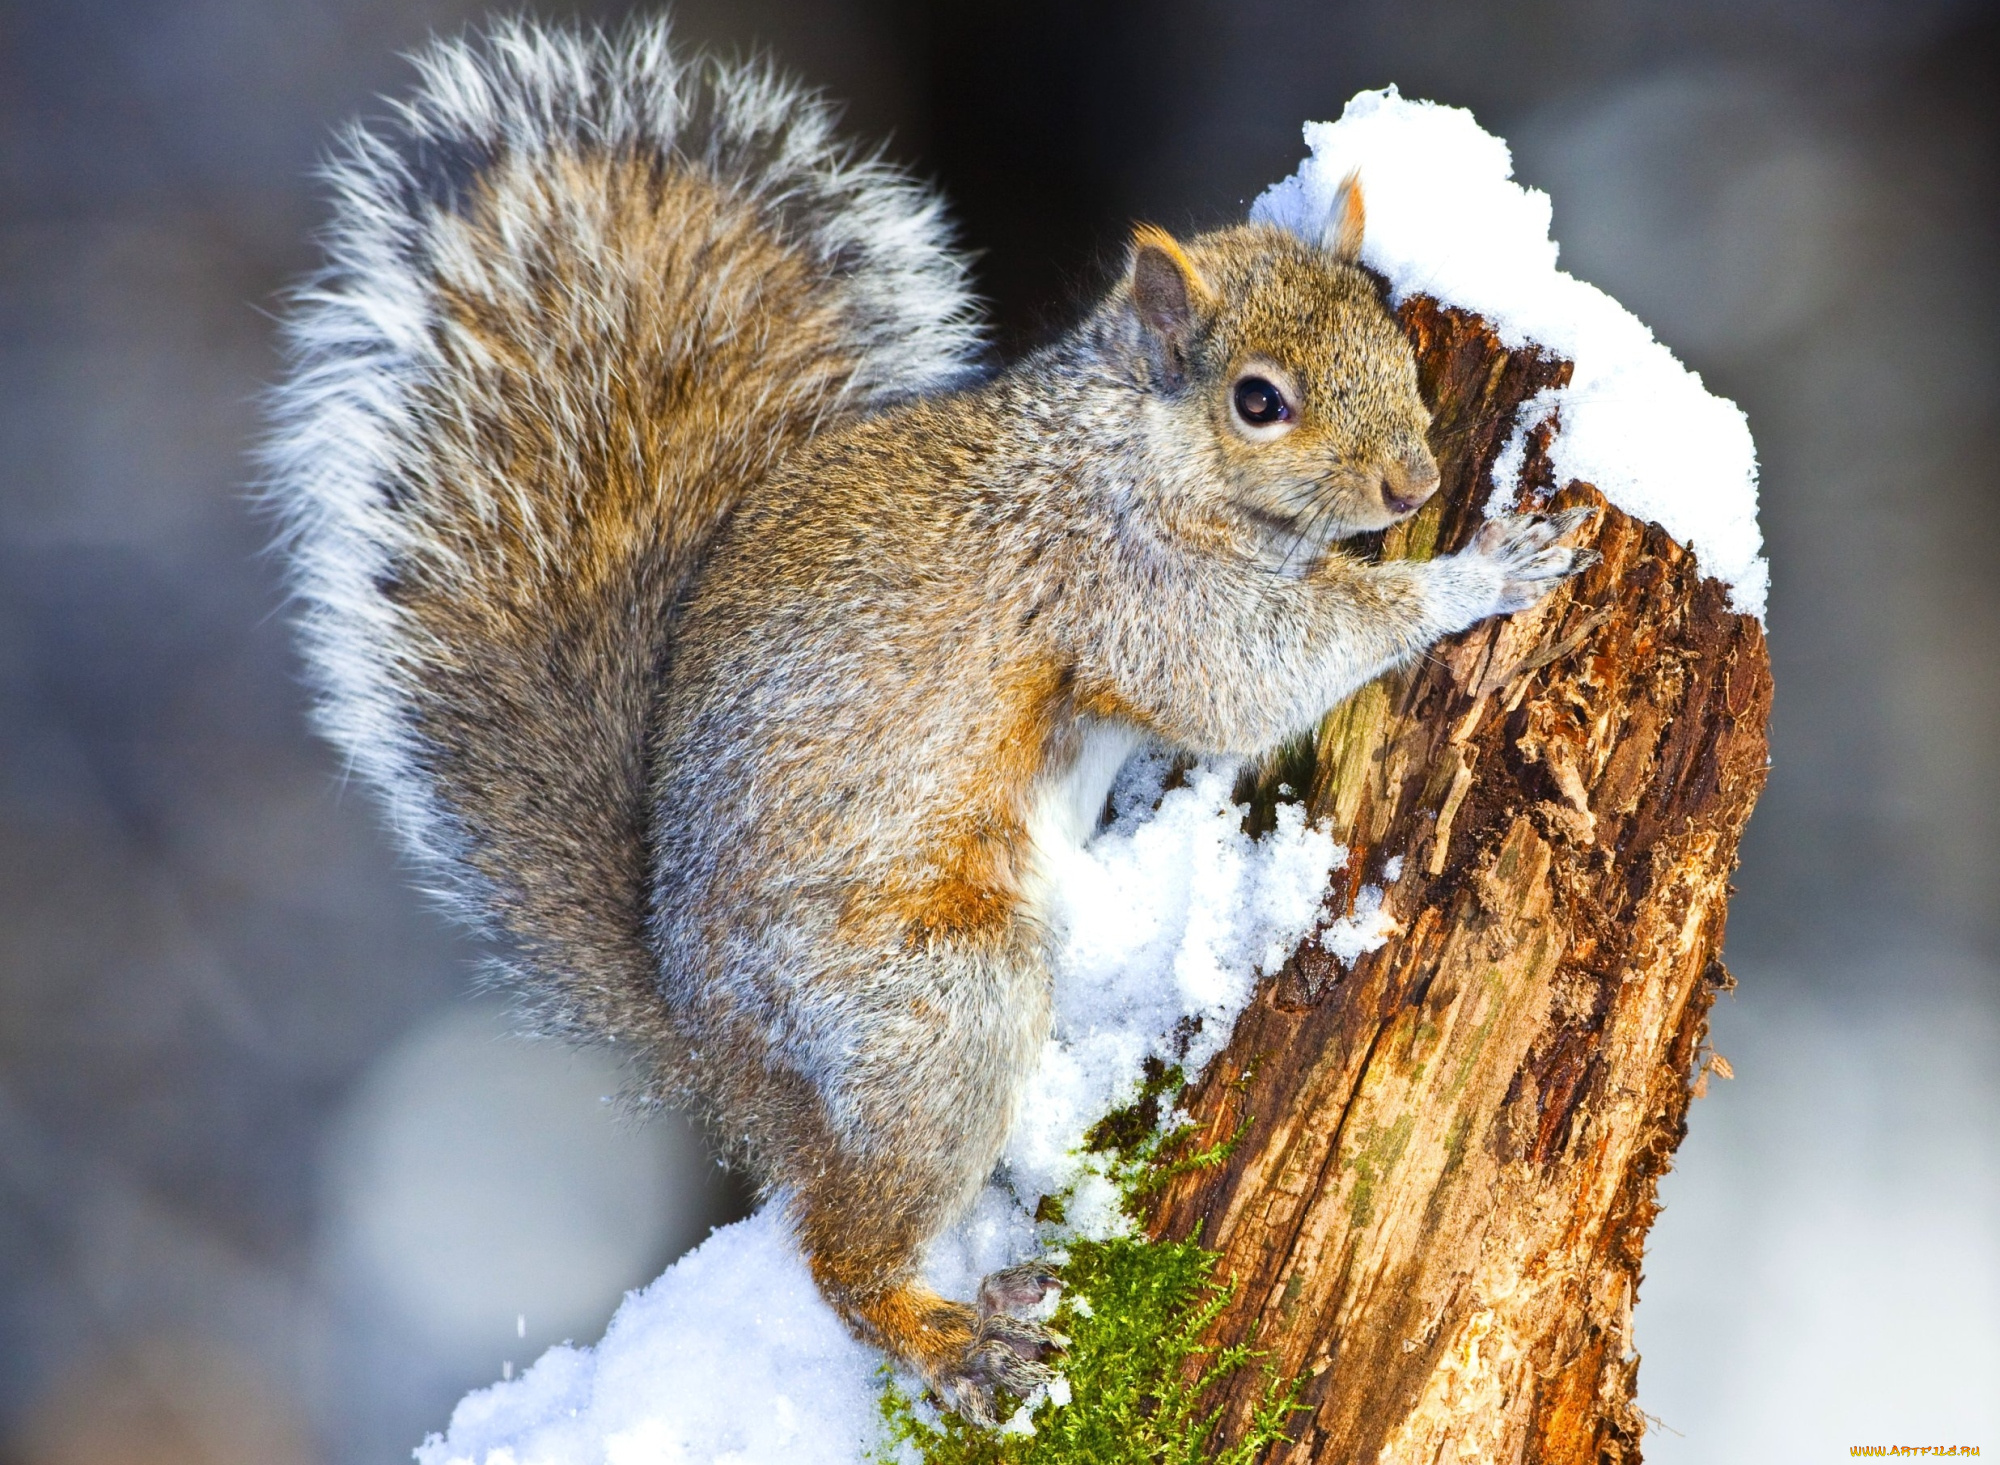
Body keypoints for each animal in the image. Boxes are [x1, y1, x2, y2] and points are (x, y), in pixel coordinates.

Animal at [270, 17, 1592, 1424]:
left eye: (1394, 348)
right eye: (1256, 400)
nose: (1412, 481)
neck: (1128, 444)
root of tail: (717, 1057)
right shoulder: (1122, 585)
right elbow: (1244, 673)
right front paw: (1472, 574)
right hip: (926, 1005)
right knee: (838, 1253)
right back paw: (946, 1333)